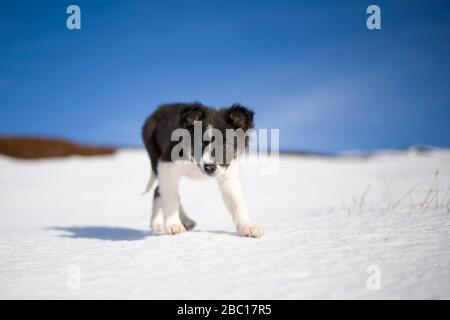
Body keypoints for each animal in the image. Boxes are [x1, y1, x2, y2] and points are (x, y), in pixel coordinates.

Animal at [142, 102, 264, 238]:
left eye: (225, 145)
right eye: (201, 143)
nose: (209, 167)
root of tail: (159, 109)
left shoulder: (227, 174)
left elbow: (237, 202)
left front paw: (247, 227)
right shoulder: (166, 165)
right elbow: (171, 198)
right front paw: (173, 225)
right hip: (154, 156)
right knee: (159, 190)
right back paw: (159, 223)